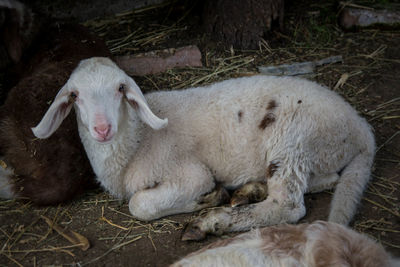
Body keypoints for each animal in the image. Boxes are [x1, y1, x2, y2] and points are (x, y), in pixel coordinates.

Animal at [30, 57, 376, 240]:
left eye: (119, 89)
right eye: (74, 96)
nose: (102, 129)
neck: (137, 141)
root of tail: (362, 130)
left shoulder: (189, 173)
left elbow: (139, 205)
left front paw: (207, 199)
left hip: (292, 138)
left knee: (288, 206)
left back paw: (213, 220)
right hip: (313, 152)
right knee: (327, 179)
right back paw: (251, 189)